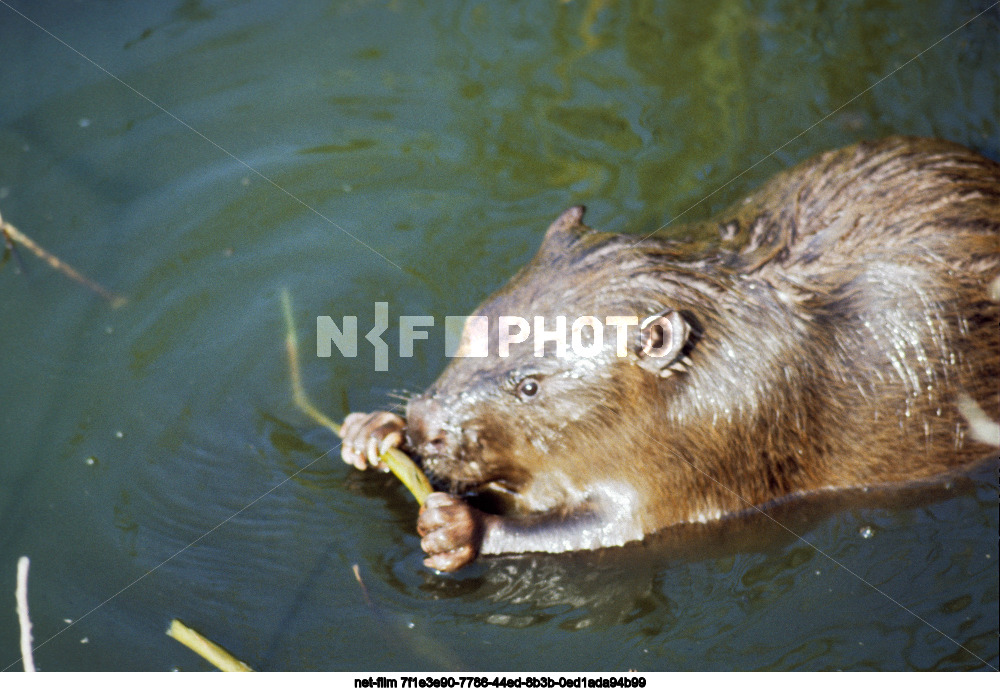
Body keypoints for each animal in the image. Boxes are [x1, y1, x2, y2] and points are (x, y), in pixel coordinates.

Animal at [340, 137, 996, 572]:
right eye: (474, 326)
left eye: (529, 385)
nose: (427, 423)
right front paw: (371, 432)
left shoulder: (724, 430)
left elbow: (620, 527)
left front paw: (457, 528)